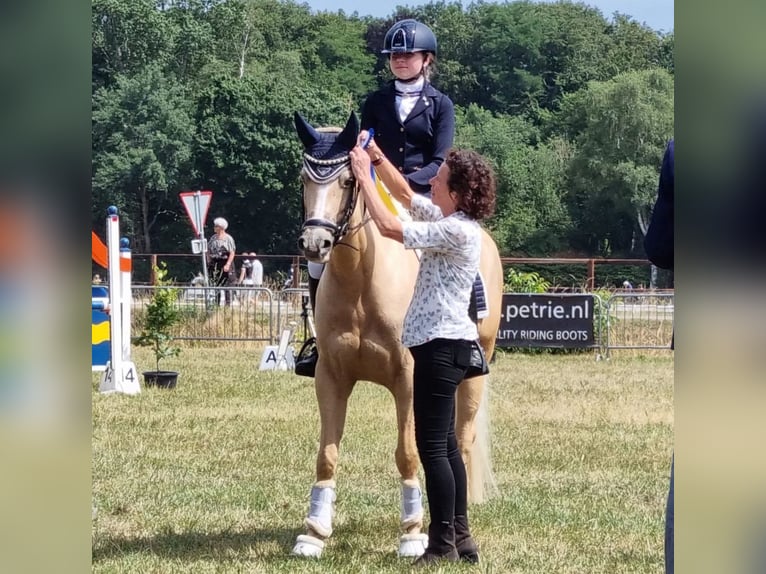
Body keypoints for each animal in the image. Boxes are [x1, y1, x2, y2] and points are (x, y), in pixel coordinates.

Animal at [292, 111, 508, 560]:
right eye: (304, 179)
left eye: (347, 180)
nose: (315, 243)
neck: (361, 279)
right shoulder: (330, 378)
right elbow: (327, 455)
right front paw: (314, 533)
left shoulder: (409, 380)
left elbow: (408, 454)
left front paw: (411, 533)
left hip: (472, 378)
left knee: (461, 443)